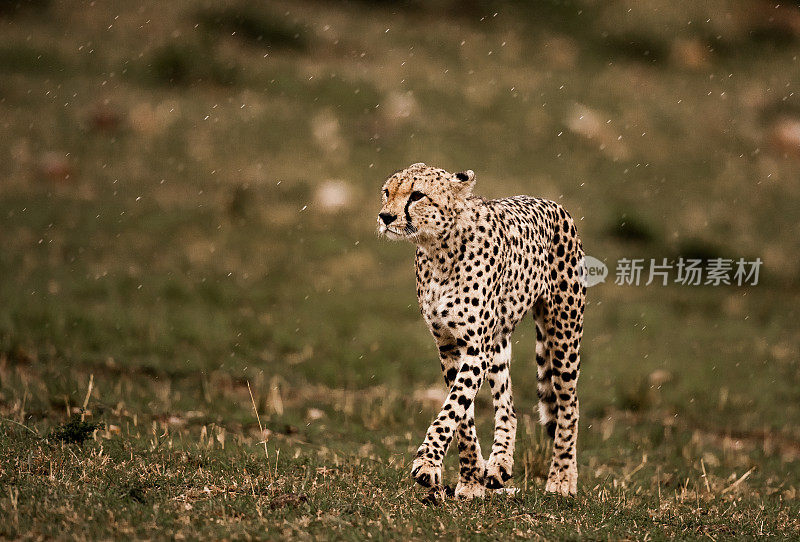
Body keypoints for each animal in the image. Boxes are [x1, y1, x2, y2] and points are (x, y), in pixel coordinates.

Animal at [378, 164, 584, 500]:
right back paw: (499, 464)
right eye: (387, 192)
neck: (439, 249)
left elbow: (452, 409)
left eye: (417, 195)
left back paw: (562, 478)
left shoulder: (474, 350)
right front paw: (471, 478)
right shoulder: (448, 346)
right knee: (508, 408)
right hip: (498, 344)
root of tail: (553, 203)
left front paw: (427, 464)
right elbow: (462, 416)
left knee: (569, 404)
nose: (385, 216)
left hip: (564, 334)